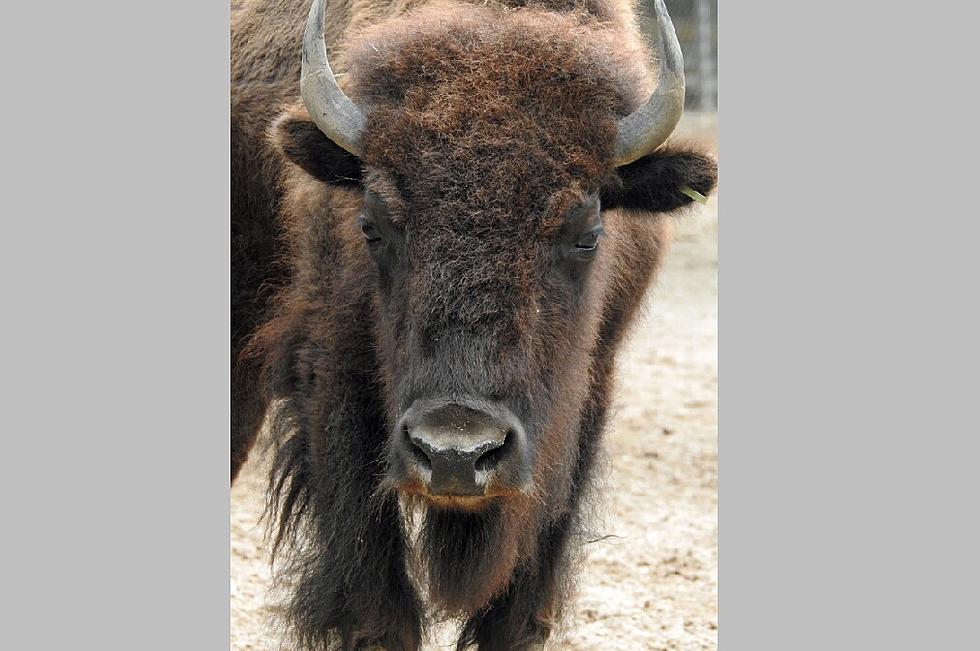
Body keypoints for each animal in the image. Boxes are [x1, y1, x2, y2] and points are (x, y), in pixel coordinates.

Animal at [233, 0, 716, 648]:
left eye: (587, 234)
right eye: (371, 226)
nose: (456, 454)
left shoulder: (584, 401)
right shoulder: (332, 377)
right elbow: (378, 608)